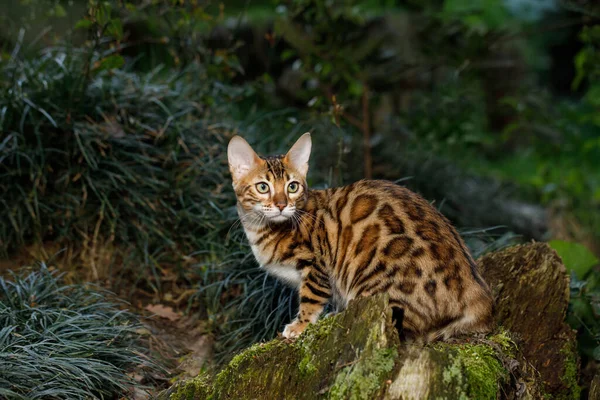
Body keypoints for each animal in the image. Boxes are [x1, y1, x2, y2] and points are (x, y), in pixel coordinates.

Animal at [225, 134, 492, 340]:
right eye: (263, 187)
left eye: (292, 187)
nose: (281, 205)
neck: (261, 229)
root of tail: (478, 293)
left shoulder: (316, 265)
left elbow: (311, 297)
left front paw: (300, 325)